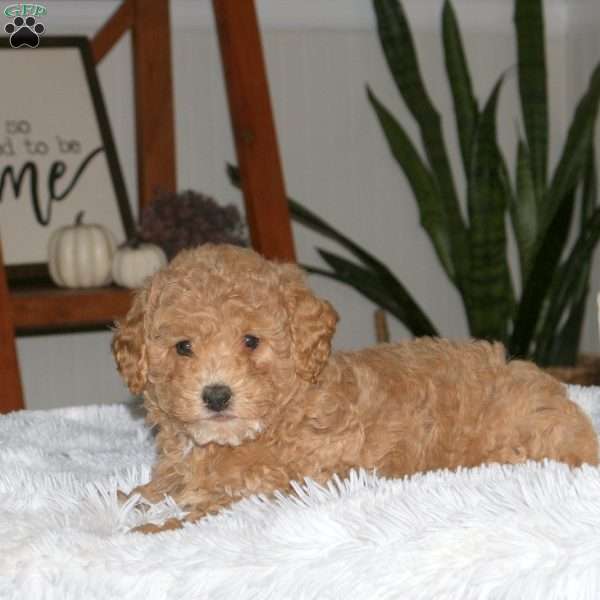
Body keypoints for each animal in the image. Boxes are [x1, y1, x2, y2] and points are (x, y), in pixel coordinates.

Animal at [111, 244, 596, 528]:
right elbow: (154, 487)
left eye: (251, 341)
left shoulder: (279, 486)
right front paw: (128, 499)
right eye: (183, 347)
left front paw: (153, 527)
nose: (215, 395)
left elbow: (208, 510)